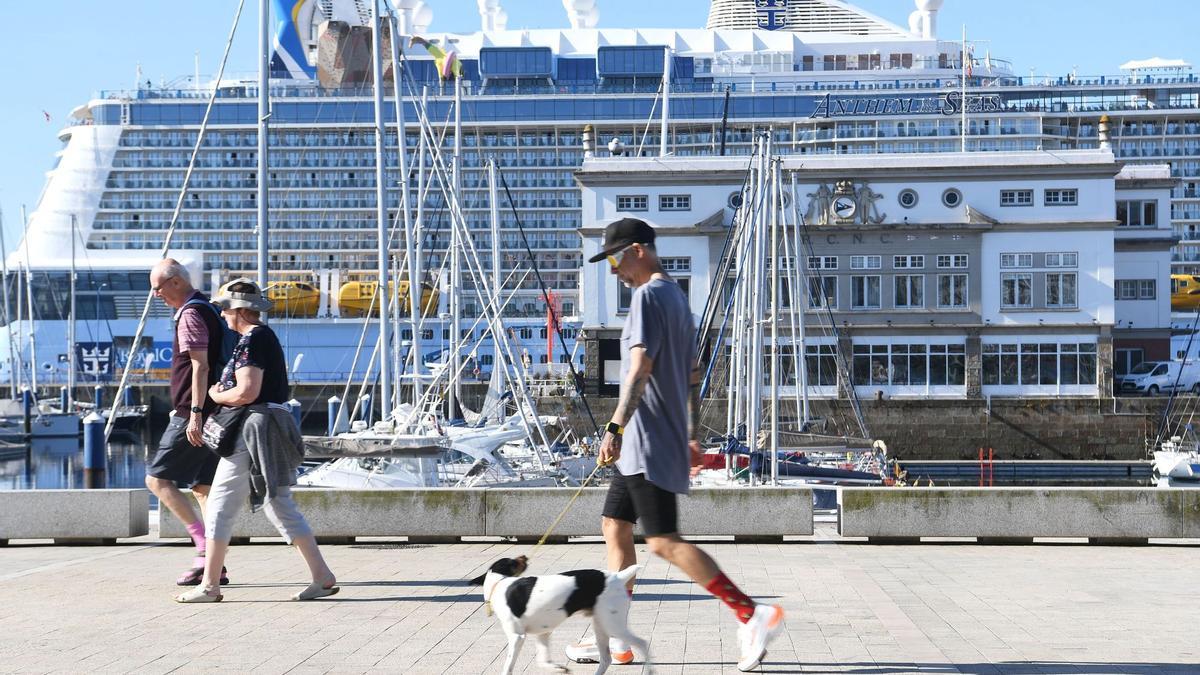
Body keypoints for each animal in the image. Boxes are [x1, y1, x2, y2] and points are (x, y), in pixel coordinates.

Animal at [470, 554, 657, 667]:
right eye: (513, 562)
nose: (524, 556)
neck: (499, 584)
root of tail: (617, 576)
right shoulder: (543, 633)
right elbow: (543, 660)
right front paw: (557, 668)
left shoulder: (517, 637)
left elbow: (508, 666)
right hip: (601, 625)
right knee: (606, 659)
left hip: (611, 625)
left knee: (641, 643)